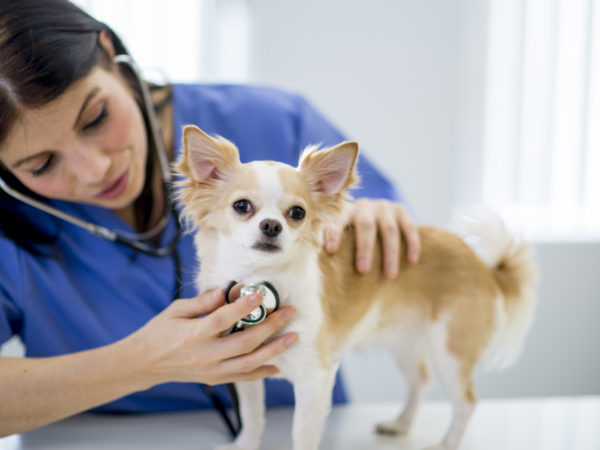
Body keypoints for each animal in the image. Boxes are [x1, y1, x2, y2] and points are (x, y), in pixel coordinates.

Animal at [175, 124, 540, 450]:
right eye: (241, 206)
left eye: (297, 213)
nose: (271, 226)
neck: (260, 278)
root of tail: (483, 264)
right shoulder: (246, 373)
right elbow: (253, 420)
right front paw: (244, 445)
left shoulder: (315, 376)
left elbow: (302, 433)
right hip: (406, 339)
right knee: (421, 380)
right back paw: (400, 424)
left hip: (451, 349)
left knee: (466, 402)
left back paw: (445, 444)